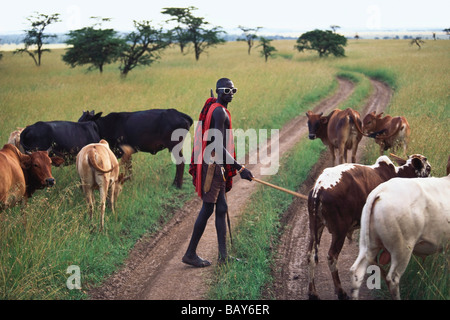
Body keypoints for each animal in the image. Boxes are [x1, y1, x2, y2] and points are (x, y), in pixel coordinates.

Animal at [308, 155, 430, 300]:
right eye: (428, 168)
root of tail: (319, 188)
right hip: (339, 231)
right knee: (331, 257)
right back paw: (341, 292)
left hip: (315, 228)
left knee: (310, 255)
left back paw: (313, 292)